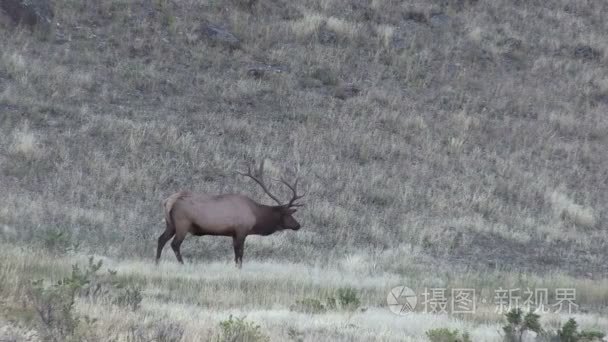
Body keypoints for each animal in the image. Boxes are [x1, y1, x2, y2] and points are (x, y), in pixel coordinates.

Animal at [157, 162, 304, 268]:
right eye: (288, 214)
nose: (298, 225)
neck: (256, 216)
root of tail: (169, 201)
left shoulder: (233, 233)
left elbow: (235, 254)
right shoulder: (242, 230)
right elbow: (240, 253)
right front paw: (240, 268)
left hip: (170, 224)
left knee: (161, 239)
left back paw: (156, 262)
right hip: (183, 223)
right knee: (175, 244)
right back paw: (182, 264)